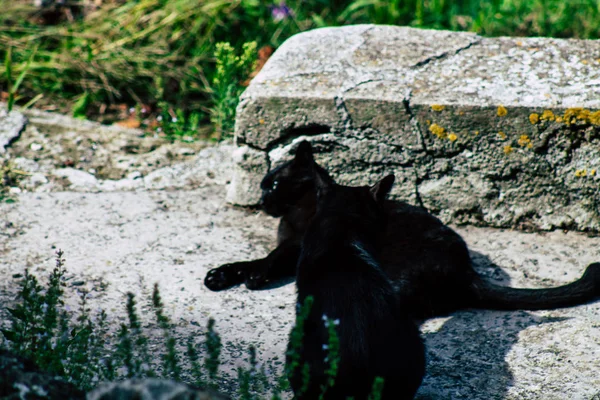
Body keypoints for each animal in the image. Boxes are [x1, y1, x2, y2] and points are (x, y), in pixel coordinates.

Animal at [203, 141, 600, 318]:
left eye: (271, 184)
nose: (260, 199)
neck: (297, 214)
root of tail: (467, 273)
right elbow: (249, 259)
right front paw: (220, 275)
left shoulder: (296, 246)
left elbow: (267, 259)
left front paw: (253, 276)